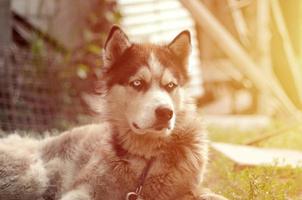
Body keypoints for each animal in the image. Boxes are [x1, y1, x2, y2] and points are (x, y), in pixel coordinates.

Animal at [0, 26, 226, 200]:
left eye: (170, 85)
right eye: (137, 83)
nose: (166, 113)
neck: (145, 160)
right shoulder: (83, 189)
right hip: (33, 176)